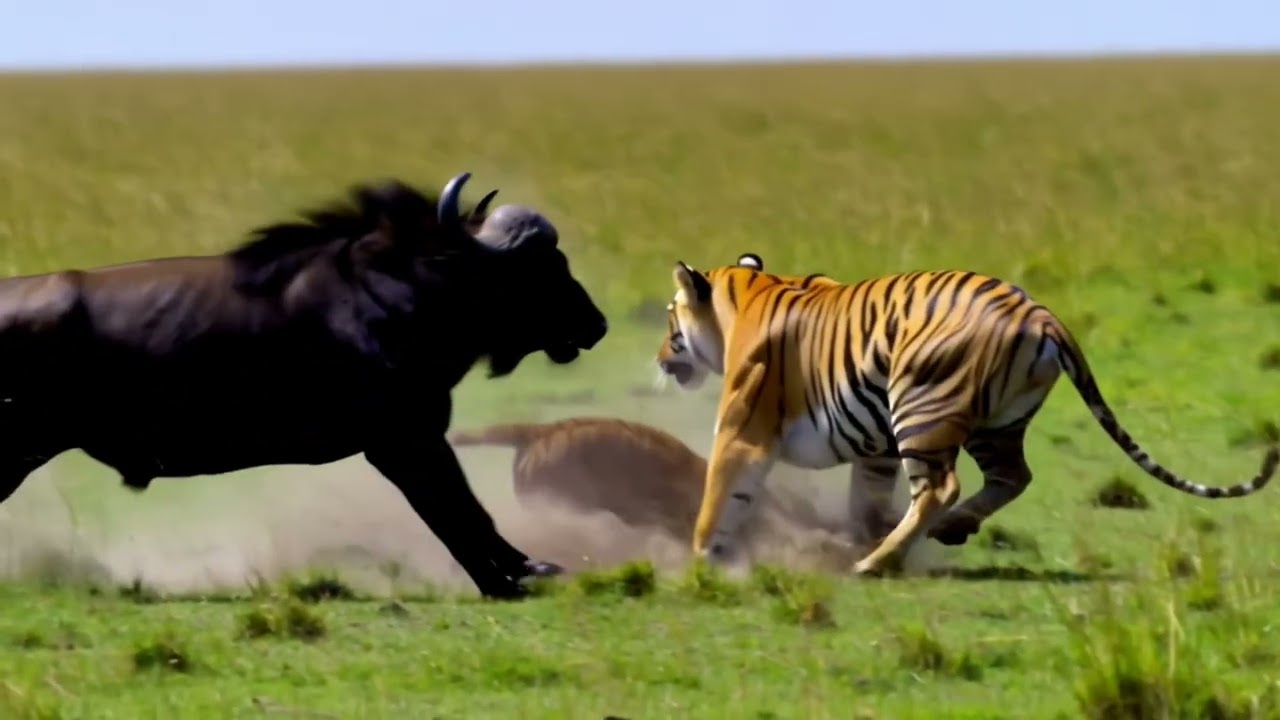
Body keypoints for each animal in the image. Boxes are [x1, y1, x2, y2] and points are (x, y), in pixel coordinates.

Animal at [0, 171, 608, 599]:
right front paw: (515, 574)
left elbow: (455, 510)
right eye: (536, 266)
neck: (393, 296)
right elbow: (457, 508)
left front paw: (507, 575)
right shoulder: (405, 442)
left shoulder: (409, 443)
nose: (595, 325)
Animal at [655, 252, 1279, 576]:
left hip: (921, 404)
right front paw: (858, 536)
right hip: (996, 423)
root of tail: (1040, 313)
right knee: (1011, 476)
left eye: (669, 318)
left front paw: (700, 556)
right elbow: (866, 499)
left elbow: (719, 493)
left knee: (941, 486)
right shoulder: (875, 447)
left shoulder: (742, 431)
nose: (662, 357)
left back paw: (879, 562)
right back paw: (941, 533)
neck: (748, 290)